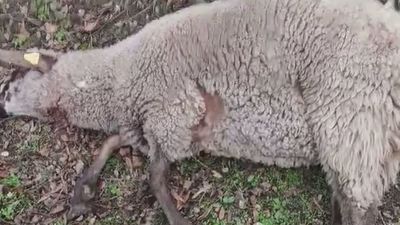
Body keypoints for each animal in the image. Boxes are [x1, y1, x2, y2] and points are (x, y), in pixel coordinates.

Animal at [0, 0, 400, 224]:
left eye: (16, 78)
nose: (2, 105)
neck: (119, 81)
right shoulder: (155, 126)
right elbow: (115, 142)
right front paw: (83, 191)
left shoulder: (172, 113)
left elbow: (155, 178)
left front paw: (178, 220)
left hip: (349, 111)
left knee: (359, 205)